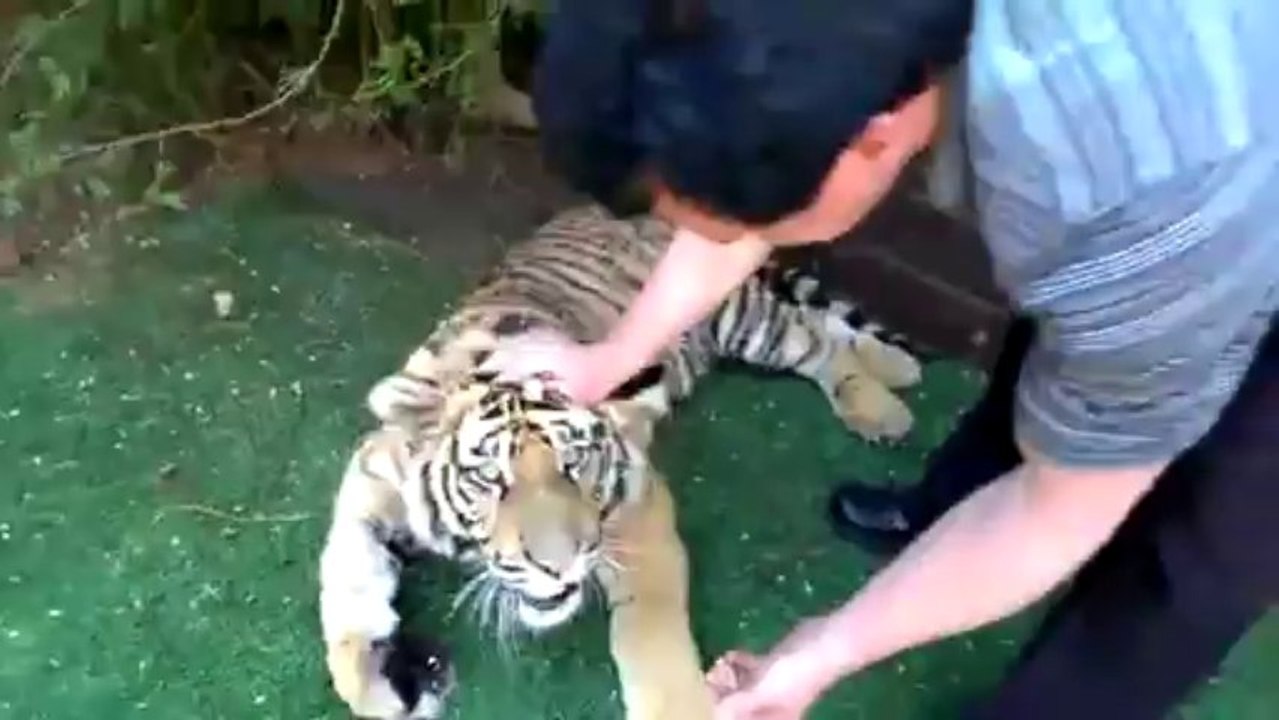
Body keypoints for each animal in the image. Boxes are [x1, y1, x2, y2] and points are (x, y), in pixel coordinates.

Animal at [317, 203, 924, 720]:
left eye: (574, 463)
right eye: (490, 478)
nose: (558, 567)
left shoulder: (639, 506)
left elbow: (648, 634)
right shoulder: (372, 477)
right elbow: (344, 577)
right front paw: (379, 680)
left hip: (737, 316)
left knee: (816, 340)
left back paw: (885, 400)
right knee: (822, 326)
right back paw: (898, 367)